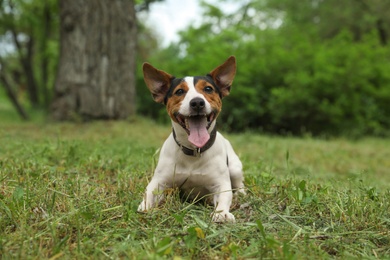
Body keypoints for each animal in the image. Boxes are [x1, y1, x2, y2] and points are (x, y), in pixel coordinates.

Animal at [139, 55, 245, 222]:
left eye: (208, 89)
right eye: (179, 91)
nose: (197, 102)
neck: (194, 151)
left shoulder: (221, 184)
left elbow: (224, 196)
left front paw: (221, 213)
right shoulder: (159, 181)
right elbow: (149, 192)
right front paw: (145, 206)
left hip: (235, 168)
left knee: (239, 183)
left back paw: (241, 193)